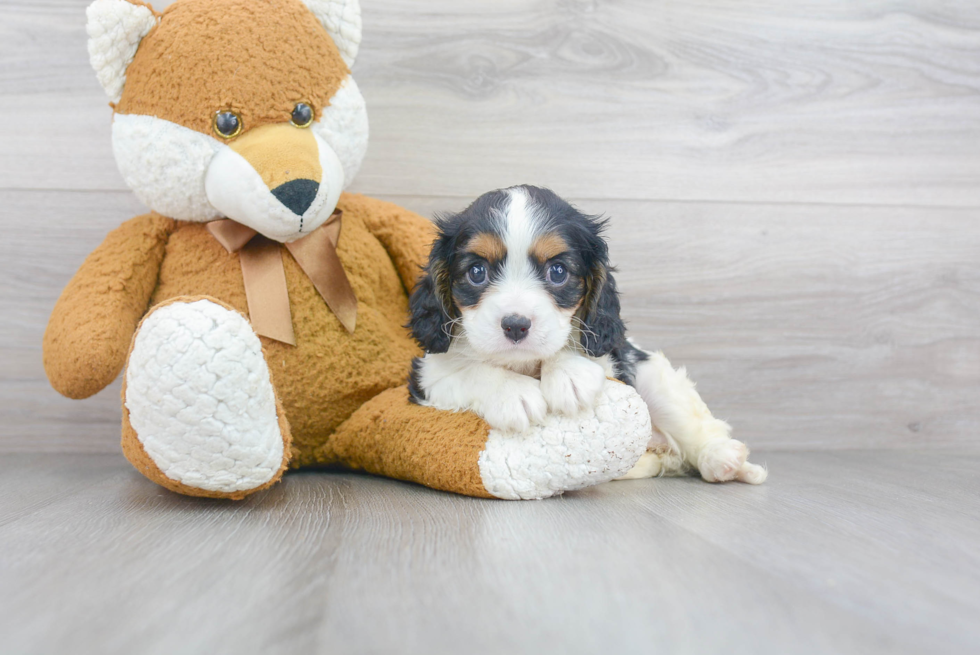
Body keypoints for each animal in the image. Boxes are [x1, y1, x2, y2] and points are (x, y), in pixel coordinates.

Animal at [406, 187, 764, 484]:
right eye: (477, 272)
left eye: (558, 272)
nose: (516, 325)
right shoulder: (429, 376)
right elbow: (469, 371)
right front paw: (512, 393)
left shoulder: (608, 356)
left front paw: (568, 373)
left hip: (654, 378)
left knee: (697, 426)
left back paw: (726, 460)